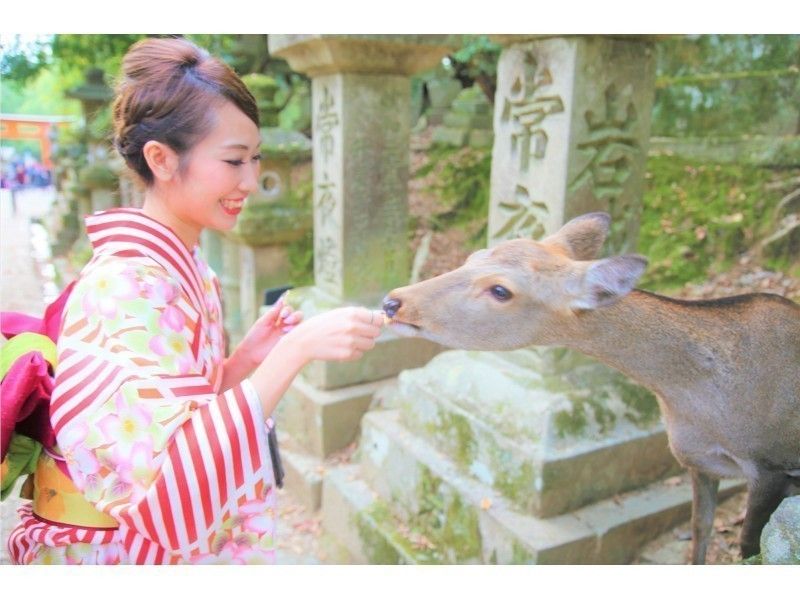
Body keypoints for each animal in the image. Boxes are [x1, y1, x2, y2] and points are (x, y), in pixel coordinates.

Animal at [382, 213, 800, 564]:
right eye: (473, 256)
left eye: (501, 291)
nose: (392, 301)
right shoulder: (699, 463)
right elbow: (700, 532)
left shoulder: (770, 465)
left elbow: (749, 546)